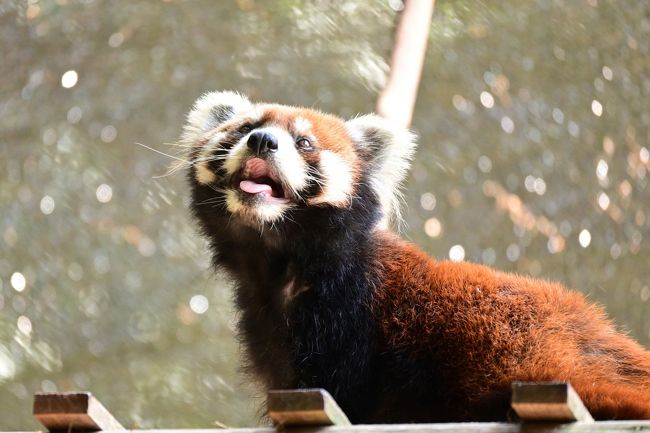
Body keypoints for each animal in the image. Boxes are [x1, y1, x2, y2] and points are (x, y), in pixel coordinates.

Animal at [181, 91, 648, 422]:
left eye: (304, 141)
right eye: (246, 127)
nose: (262, 141)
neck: (281, 266)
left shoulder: (350, 315)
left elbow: (341, 388)